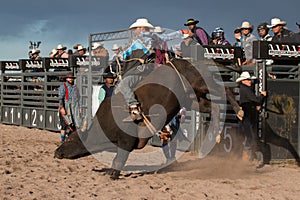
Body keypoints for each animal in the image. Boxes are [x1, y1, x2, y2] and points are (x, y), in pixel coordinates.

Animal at [54, 57, 241, 178]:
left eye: (70, 140)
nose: (57, 152)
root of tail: (191, 62)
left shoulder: (126, 141)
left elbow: (119, 158)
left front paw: (113, 173)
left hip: (200, 84)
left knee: (224, 90)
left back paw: (239, 111)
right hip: (193, 99)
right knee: (214, 106)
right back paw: (216, 132)